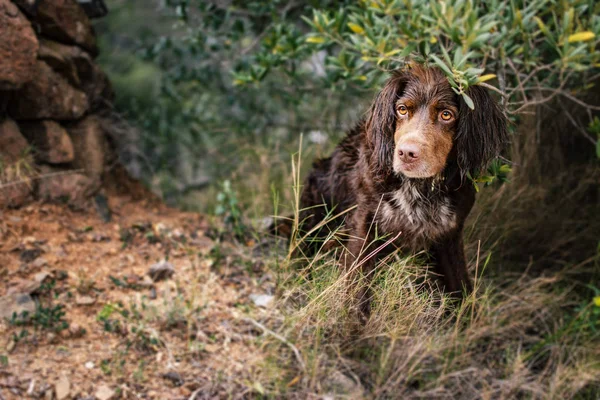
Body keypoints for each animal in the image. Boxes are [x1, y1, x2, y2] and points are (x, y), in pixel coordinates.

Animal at [300, 64, 506, 318]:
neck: (420, 187)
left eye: (446, 114)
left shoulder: (450, 232)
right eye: (402, 109)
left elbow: (460, 287)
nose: (407, 153)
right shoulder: (363, 224)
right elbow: (357, 287)